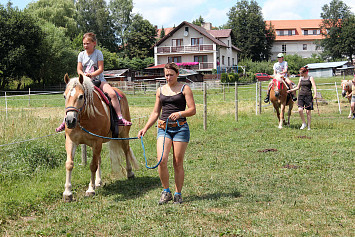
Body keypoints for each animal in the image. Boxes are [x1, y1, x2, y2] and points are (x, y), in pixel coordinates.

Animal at [62, 74, 138, 202]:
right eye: (64, 96)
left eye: (81, 96)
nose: (70, 120)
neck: (85, 117)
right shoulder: (71, 141)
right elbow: (69, 164)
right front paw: (67, 193)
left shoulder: (96, 142)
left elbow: (93, 165)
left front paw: (90, 190)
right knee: (99, 159)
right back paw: (98, 181)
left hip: (123, 135)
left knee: (126, 151)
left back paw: (129, 173)